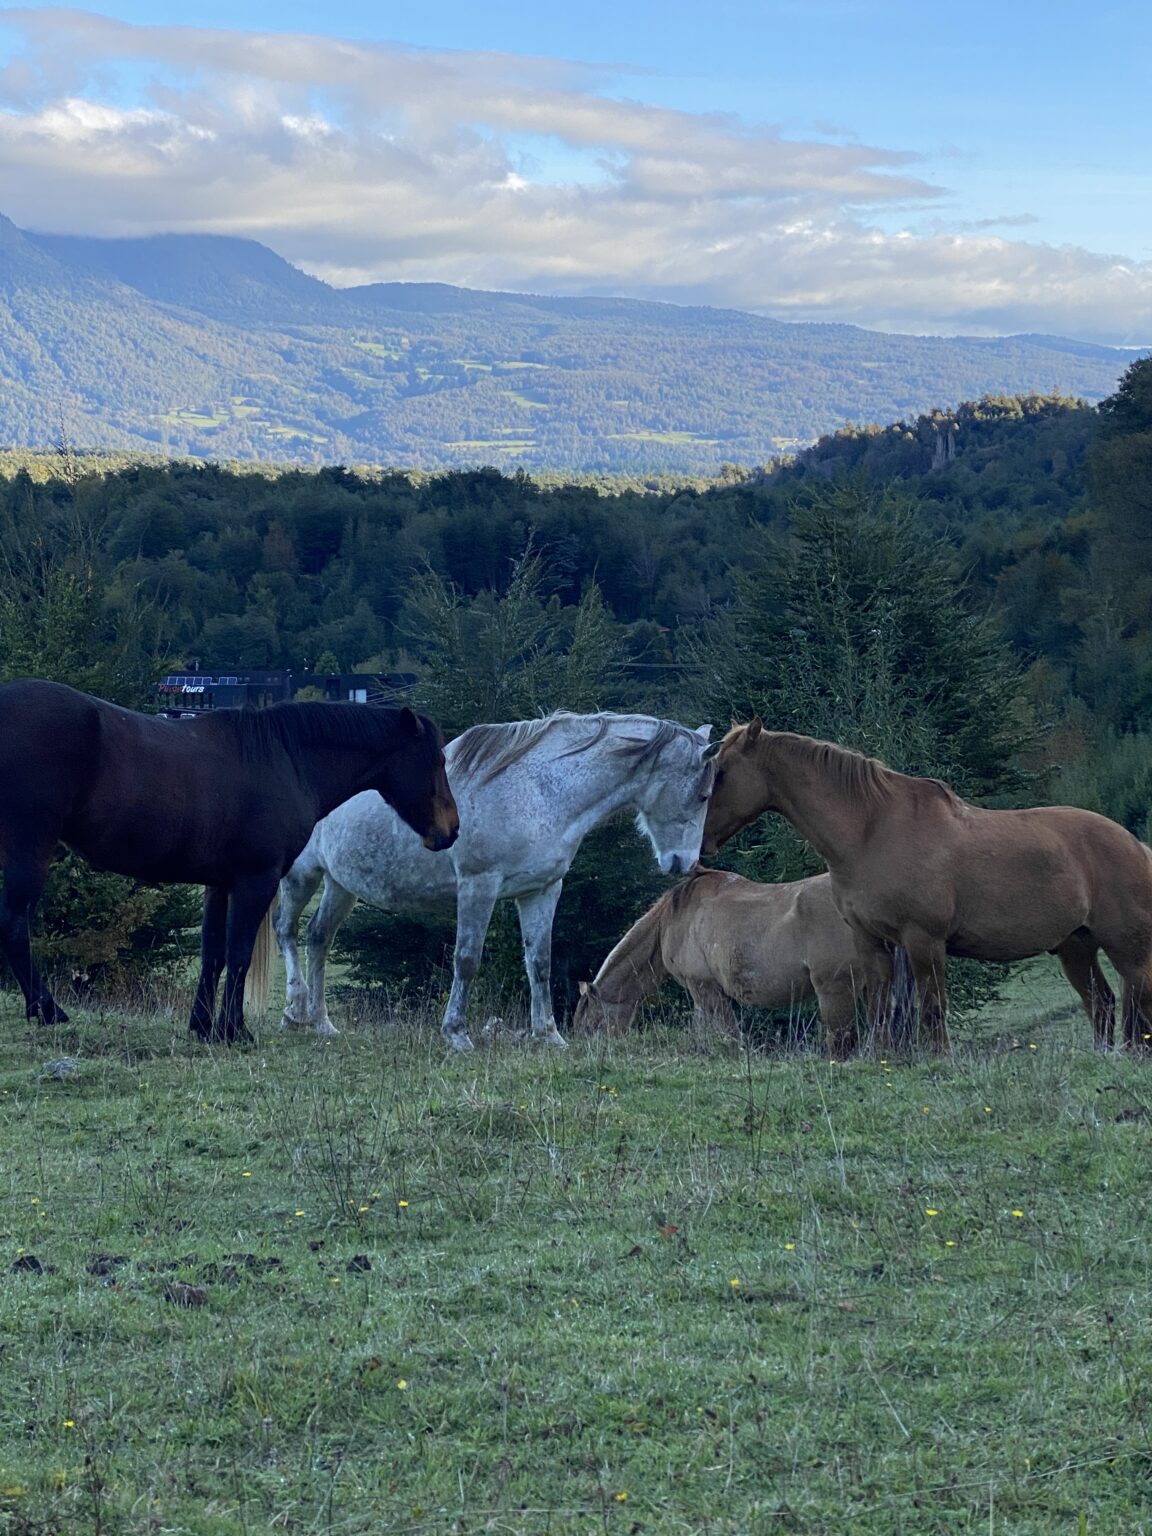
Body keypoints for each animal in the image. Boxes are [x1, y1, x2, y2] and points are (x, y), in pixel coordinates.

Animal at [0, 679, 458, 1045]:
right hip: (28, 847)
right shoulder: (256, 879)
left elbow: (214, 954)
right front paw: (234, 1030)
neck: (284, 759)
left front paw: (203, 1026)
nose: (451, 830)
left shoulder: (220, 883)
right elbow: (238, 954)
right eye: (437, 760)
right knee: (15, 925)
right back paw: (47, 1009)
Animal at [274, 712, 715, 1051]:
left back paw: (321, 1022)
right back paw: (294, 1009)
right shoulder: (478, 887)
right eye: (704, 795)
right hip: (301, 875)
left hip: (341, 885)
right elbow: (467, 960)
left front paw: (549, 1035)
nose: (684, 862)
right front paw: (456, 1034)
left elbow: (540, 963)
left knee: (319, 937)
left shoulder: (542, 891)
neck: (542, 792)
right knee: (286, 930)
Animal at [573, 868, 865, 1053]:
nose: (584, 1051)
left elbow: (729, 1035)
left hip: (835, 990)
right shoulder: (704, 991)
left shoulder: (703, 986)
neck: (669, 919)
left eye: (591, 1024)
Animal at [701, 719, 1152, 1053]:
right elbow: (879, 1008)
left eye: (721, 773)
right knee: (1102, 1004)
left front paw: (939, 1060)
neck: (872, 830)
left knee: (1137, 1000)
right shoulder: (871, 941)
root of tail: (1137, 846)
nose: (702, 839)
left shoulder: (924, 940)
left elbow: (932, 1008)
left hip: (1126, 949)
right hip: (1076, 946)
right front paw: (881, 1058)